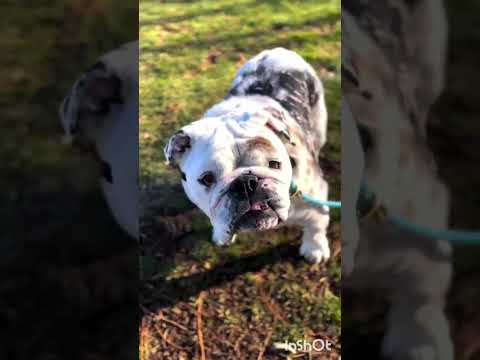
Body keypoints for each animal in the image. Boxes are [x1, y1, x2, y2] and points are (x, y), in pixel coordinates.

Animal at [163, 47, 332, 262]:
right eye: (207, 179)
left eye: (275, 164)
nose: (246, 183)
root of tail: (278, 50)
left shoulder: (315, 200)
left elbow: (316, 224)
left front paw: (315, 248)